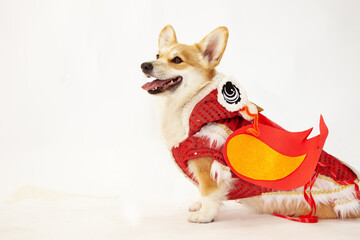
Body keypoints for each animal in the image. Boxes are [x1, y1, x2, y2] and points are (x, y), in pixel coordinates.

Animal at [141, 25, 360, 222]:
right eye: (157, 55)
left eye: (177, 60)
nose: (145, 65)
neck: (187, 104)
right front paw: (198, 206)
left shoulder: (207, 163)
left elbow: (208, 192)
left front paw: (205, 215)